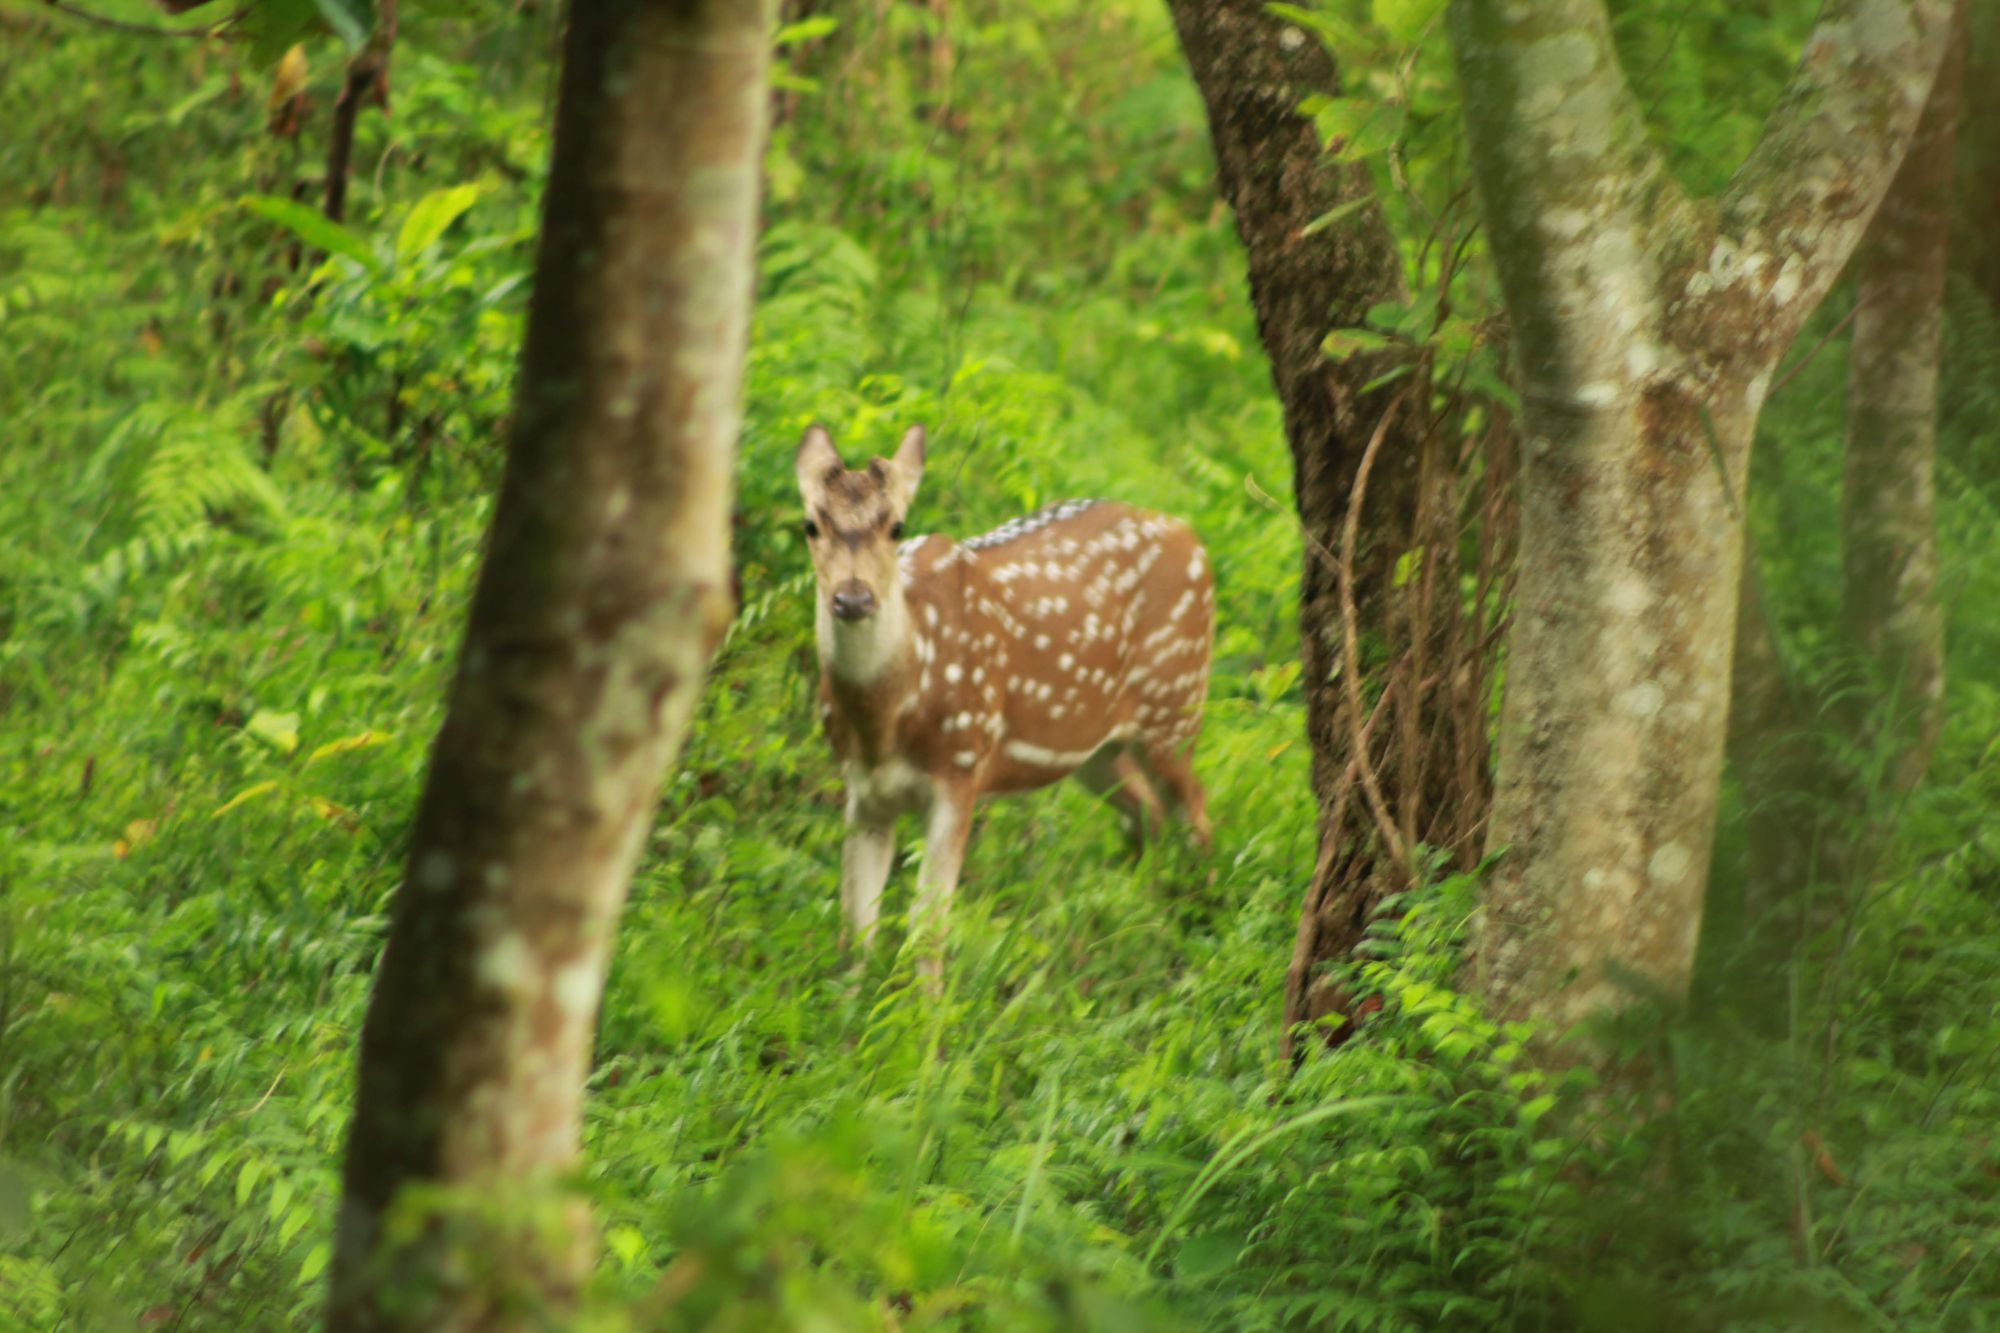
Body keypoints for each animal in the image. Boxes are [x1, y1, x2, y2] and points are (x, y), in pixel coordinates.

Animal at [792, 420, 1200, 972]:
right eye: (811, 524)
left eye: (896, 526)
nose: (853, 598)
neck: (888, 716)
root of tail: (1193, 538)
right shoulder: (862, 789)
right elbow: (855, 930)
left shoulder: (962, 769)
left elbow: (927, 928)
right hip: (1094, 748)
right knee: (1147, 810)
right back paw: (1139, 917)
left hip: (1175, 704)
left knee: (1197, 814)